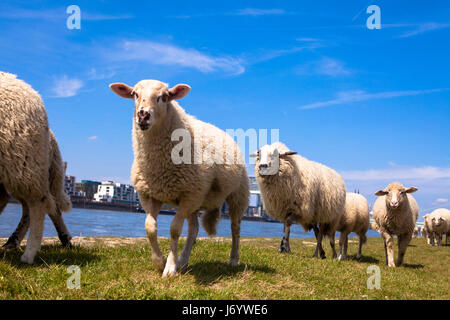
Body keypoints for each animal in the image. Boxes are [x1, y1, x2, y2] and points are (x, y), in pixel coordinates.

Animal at [109, 79, 250, 276]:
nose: (143, 115)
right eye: (134, 94)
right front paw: (159, 261)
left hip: (236, 195)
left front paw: (169, 267)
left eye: (165, 96)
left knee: (235, 228)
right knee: (194, 229)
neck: (159, 165)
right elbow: (150, 227)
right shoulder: (150, 195)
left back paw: (233, 259)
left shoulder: (188, 195)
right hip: (197, 199)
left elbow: (175, 230)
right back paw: (183, 261)